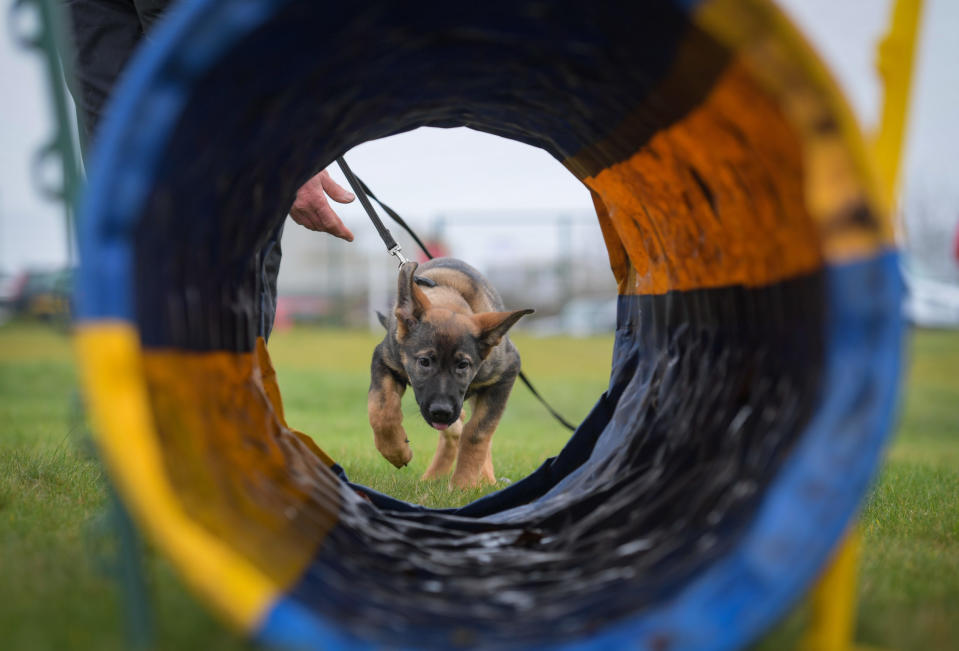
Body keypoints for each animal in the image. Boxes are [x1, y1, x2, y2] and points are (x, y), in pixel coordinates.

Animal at [370, 258, 532, 486]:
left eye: (463, 365)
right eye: (424, 362)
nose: (442, 411)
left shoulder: (506, 373)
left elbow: (478, 433)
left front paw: (463, 485)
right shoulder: (384, 360)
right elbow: (381, 410)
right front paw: (396, 451)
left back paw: (485, 479)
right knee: (456, 427)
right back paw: (432, 477)